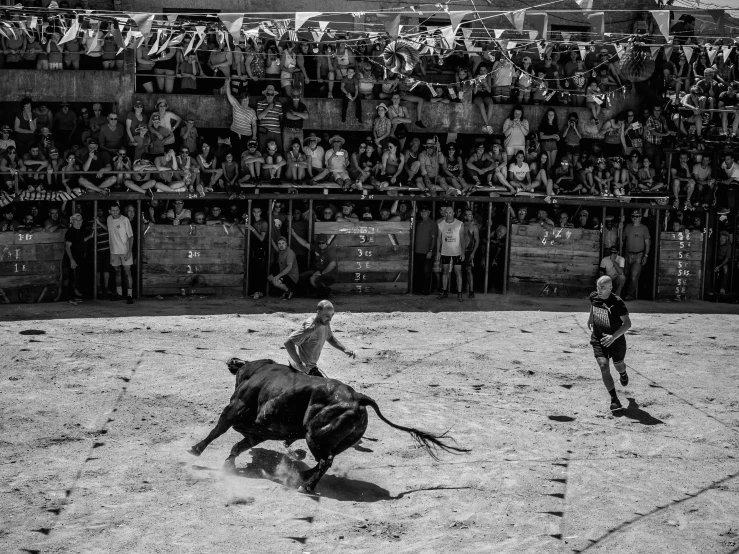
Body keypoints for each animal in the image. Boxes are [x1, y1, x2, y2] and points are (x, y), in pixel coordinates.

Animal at [189, 358, 468, 492]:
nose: (232, 362)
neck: (255, 373)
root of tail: (358, 397)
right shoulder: (258, 433)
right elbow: (238, 445)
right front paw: (228, 465)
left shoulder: (233, 410)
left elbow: (217, 431)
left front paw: (195, 450)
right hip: (334, 439)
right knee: (326, 460)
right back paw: (303, 478)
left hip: (314, 435)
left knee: (325, 460)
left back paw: (307, 486)